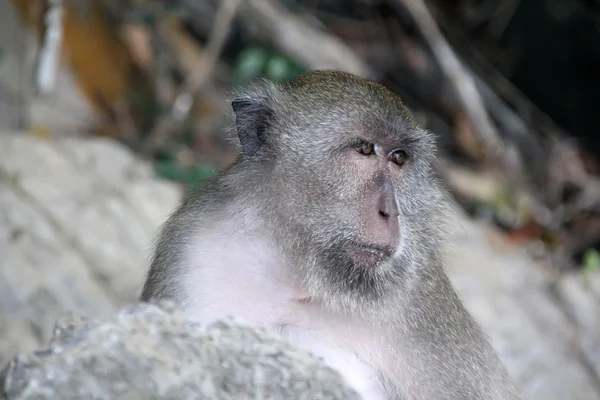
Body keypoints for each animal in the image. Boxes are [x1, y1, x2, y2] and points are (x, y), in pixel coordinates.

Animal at [141, 70, 520, 398]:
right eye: (364, 149)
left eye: (398, 158)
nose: (391, 212)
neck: (302, 277)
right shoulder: (192, 246)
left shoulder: (426, 304)